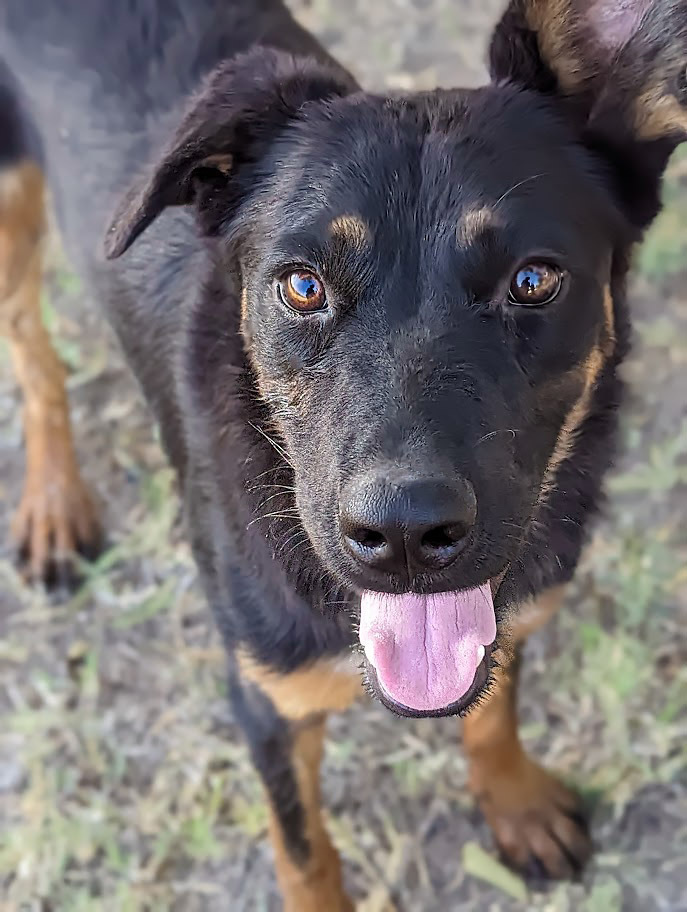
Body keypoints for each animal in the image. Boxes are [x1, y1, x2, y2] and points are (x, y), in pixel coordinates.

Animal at [1, 0, 687, 908]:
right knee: (30, 344)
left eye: (534, 280)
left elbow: (494, 708)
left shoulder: (511, 607)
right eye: (302, 286)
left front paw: (516, 803)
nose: (404, 539)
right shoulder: (267, 698)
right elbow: (305, 853)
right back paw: (52, 503)